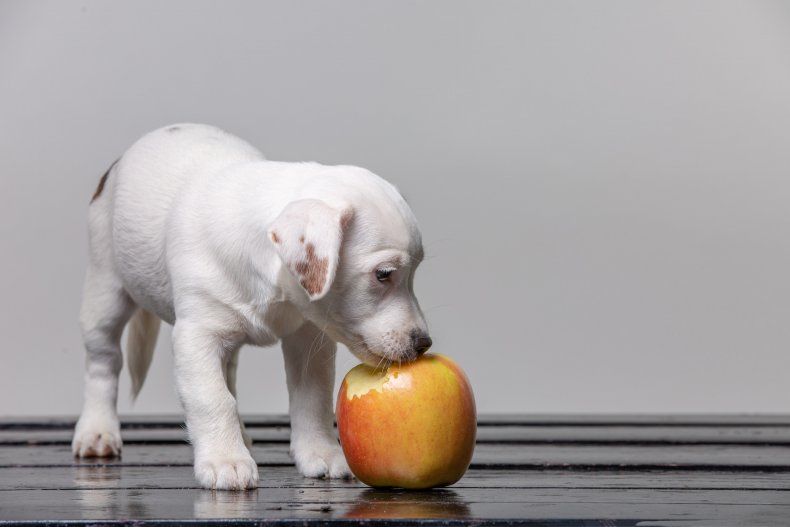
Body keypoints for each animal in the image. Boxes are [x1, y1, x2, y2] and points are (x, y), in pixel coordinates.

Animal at [72, 124, 434, 490]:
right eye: (383, 274)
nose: (424, 343)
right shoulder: (197, 337)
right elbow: (211, 398)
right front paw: (225, 460)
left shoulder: (308, 339)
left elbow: (313, 397)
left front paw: (320, 452)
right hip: (105, 293)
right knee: (103, 363)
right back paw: (97, 432)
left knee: (228, 372)